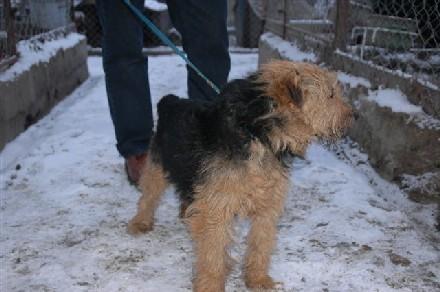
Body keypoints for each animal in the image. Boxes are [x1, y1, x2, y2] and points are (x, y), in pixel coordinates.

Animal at [125, 60, 352, 290]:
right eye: (330, 94)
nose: (354, 116)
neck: (259, 135)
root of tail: (170, 101)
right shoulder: (217, 208)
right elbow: (213, 254)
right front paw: (210, 285)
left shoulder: (267, 207)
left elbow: (260, 245)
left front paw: (257, 279)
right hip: (157, 167)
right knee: (148, 196)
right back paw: (140, 222)